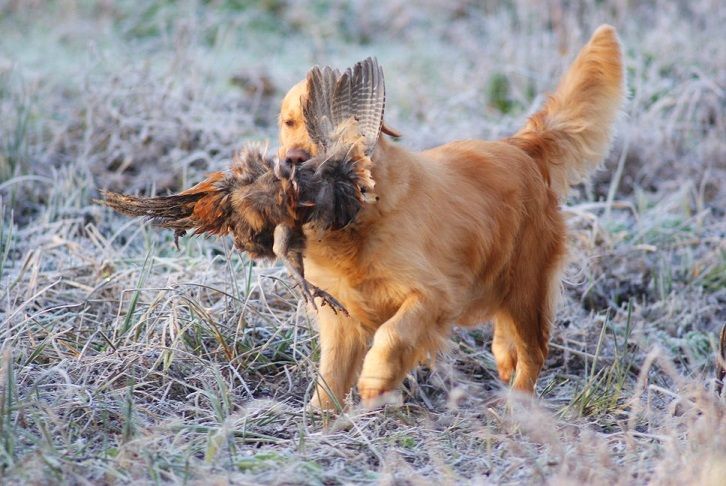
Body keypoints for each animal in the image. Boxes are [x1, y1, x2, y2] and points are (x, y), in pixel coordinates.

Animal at [278, 24, 624, 408]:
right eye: (288, 122)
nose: (293, 160)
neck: (359, 223)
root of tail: (520, 146)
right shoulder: (341, 317)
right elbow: (331, 376)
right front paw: (319, 416)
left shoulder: (434, 294)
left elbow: (393, 333)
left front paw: (375, 379)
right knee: (510, 337)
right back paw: (504, 356)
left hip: (527, 286)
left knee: (534, 352)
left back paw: (518, 408)